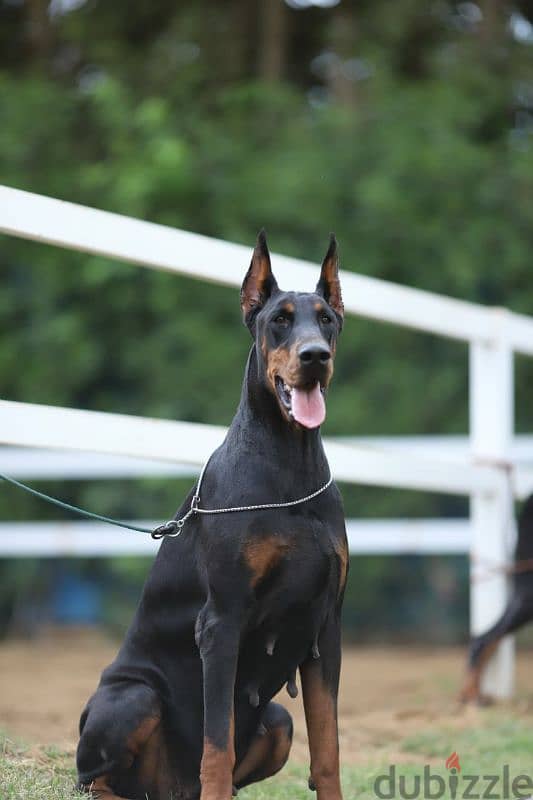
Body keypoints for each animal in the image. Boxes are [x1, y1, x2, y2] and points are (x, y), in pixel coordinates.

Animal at [76, 233, 350, 800]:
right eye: (280, 320)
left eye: (327, 320)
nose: (315, 356)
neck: (290, 464)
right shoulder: (222, 621)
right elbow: (216, 747)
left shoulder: (326, 627)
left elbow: (328, 746)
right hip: (131, 699)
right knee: (95, 779)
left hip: (276, 723)